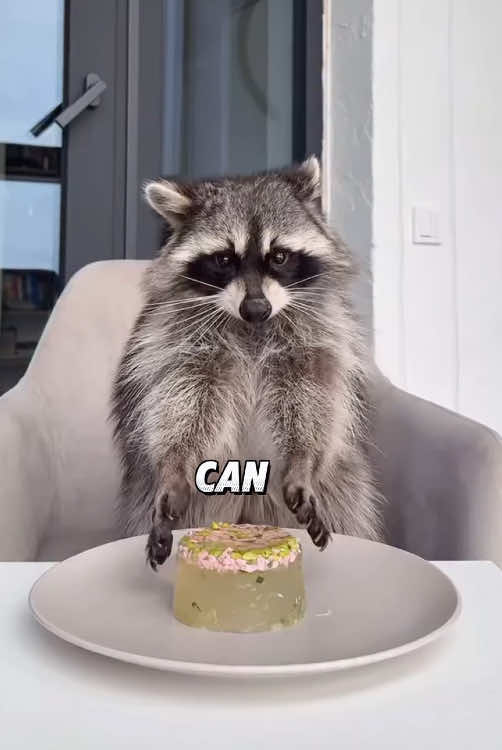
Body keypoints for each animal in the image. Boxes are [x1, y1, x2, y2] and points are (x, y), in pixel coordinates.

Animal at [110, 157, 383, 570]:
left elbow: (312, 404)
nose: (256, 308)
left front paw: (302, 461)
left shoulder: (316, 341)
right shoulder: (180, 345)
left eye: (279, 256)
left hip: (344, 489)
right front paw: (174, 467)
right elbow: (183, 408)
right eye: (224, 259)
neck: (252, 329)